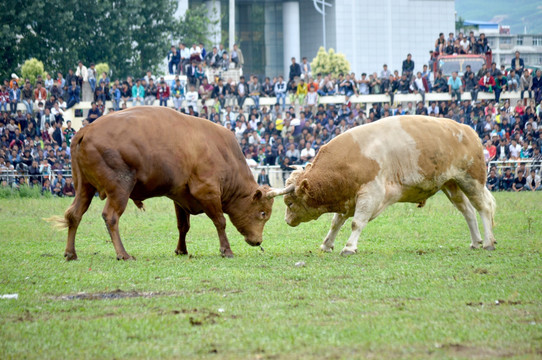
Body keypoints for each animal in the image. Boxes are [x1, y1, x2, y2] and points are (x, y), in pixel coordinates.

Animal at [52, 105, 274, 260]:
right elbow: (220, 221)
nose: (258, 241)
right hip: (120, 188)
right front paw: (226, 250)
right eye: (262, 213)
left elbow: (183, 226)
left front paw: (181, 250)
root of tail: (86, 130)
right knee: (111, 217)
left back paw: (71, 253)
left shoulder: (180, 196)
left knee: (74, 215)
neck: (223, 153)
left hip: (84, 188)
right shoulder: (207, 192)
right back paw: (123, 254)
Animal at [268, 115, 498, 256]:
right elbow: (336, 223)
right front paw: (327, 244)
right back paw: (475, 241)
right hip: (451, 184)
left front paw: (349, 247)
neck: (351, 159)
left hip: (472, 180)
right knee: (468, 211)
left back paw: (488, 242)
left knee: (484, 207)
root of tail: (467, 130)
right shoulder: (349, 197)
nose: (287, 220)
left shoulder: (370, 195)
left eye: (289, 202)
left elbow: (356, 223)